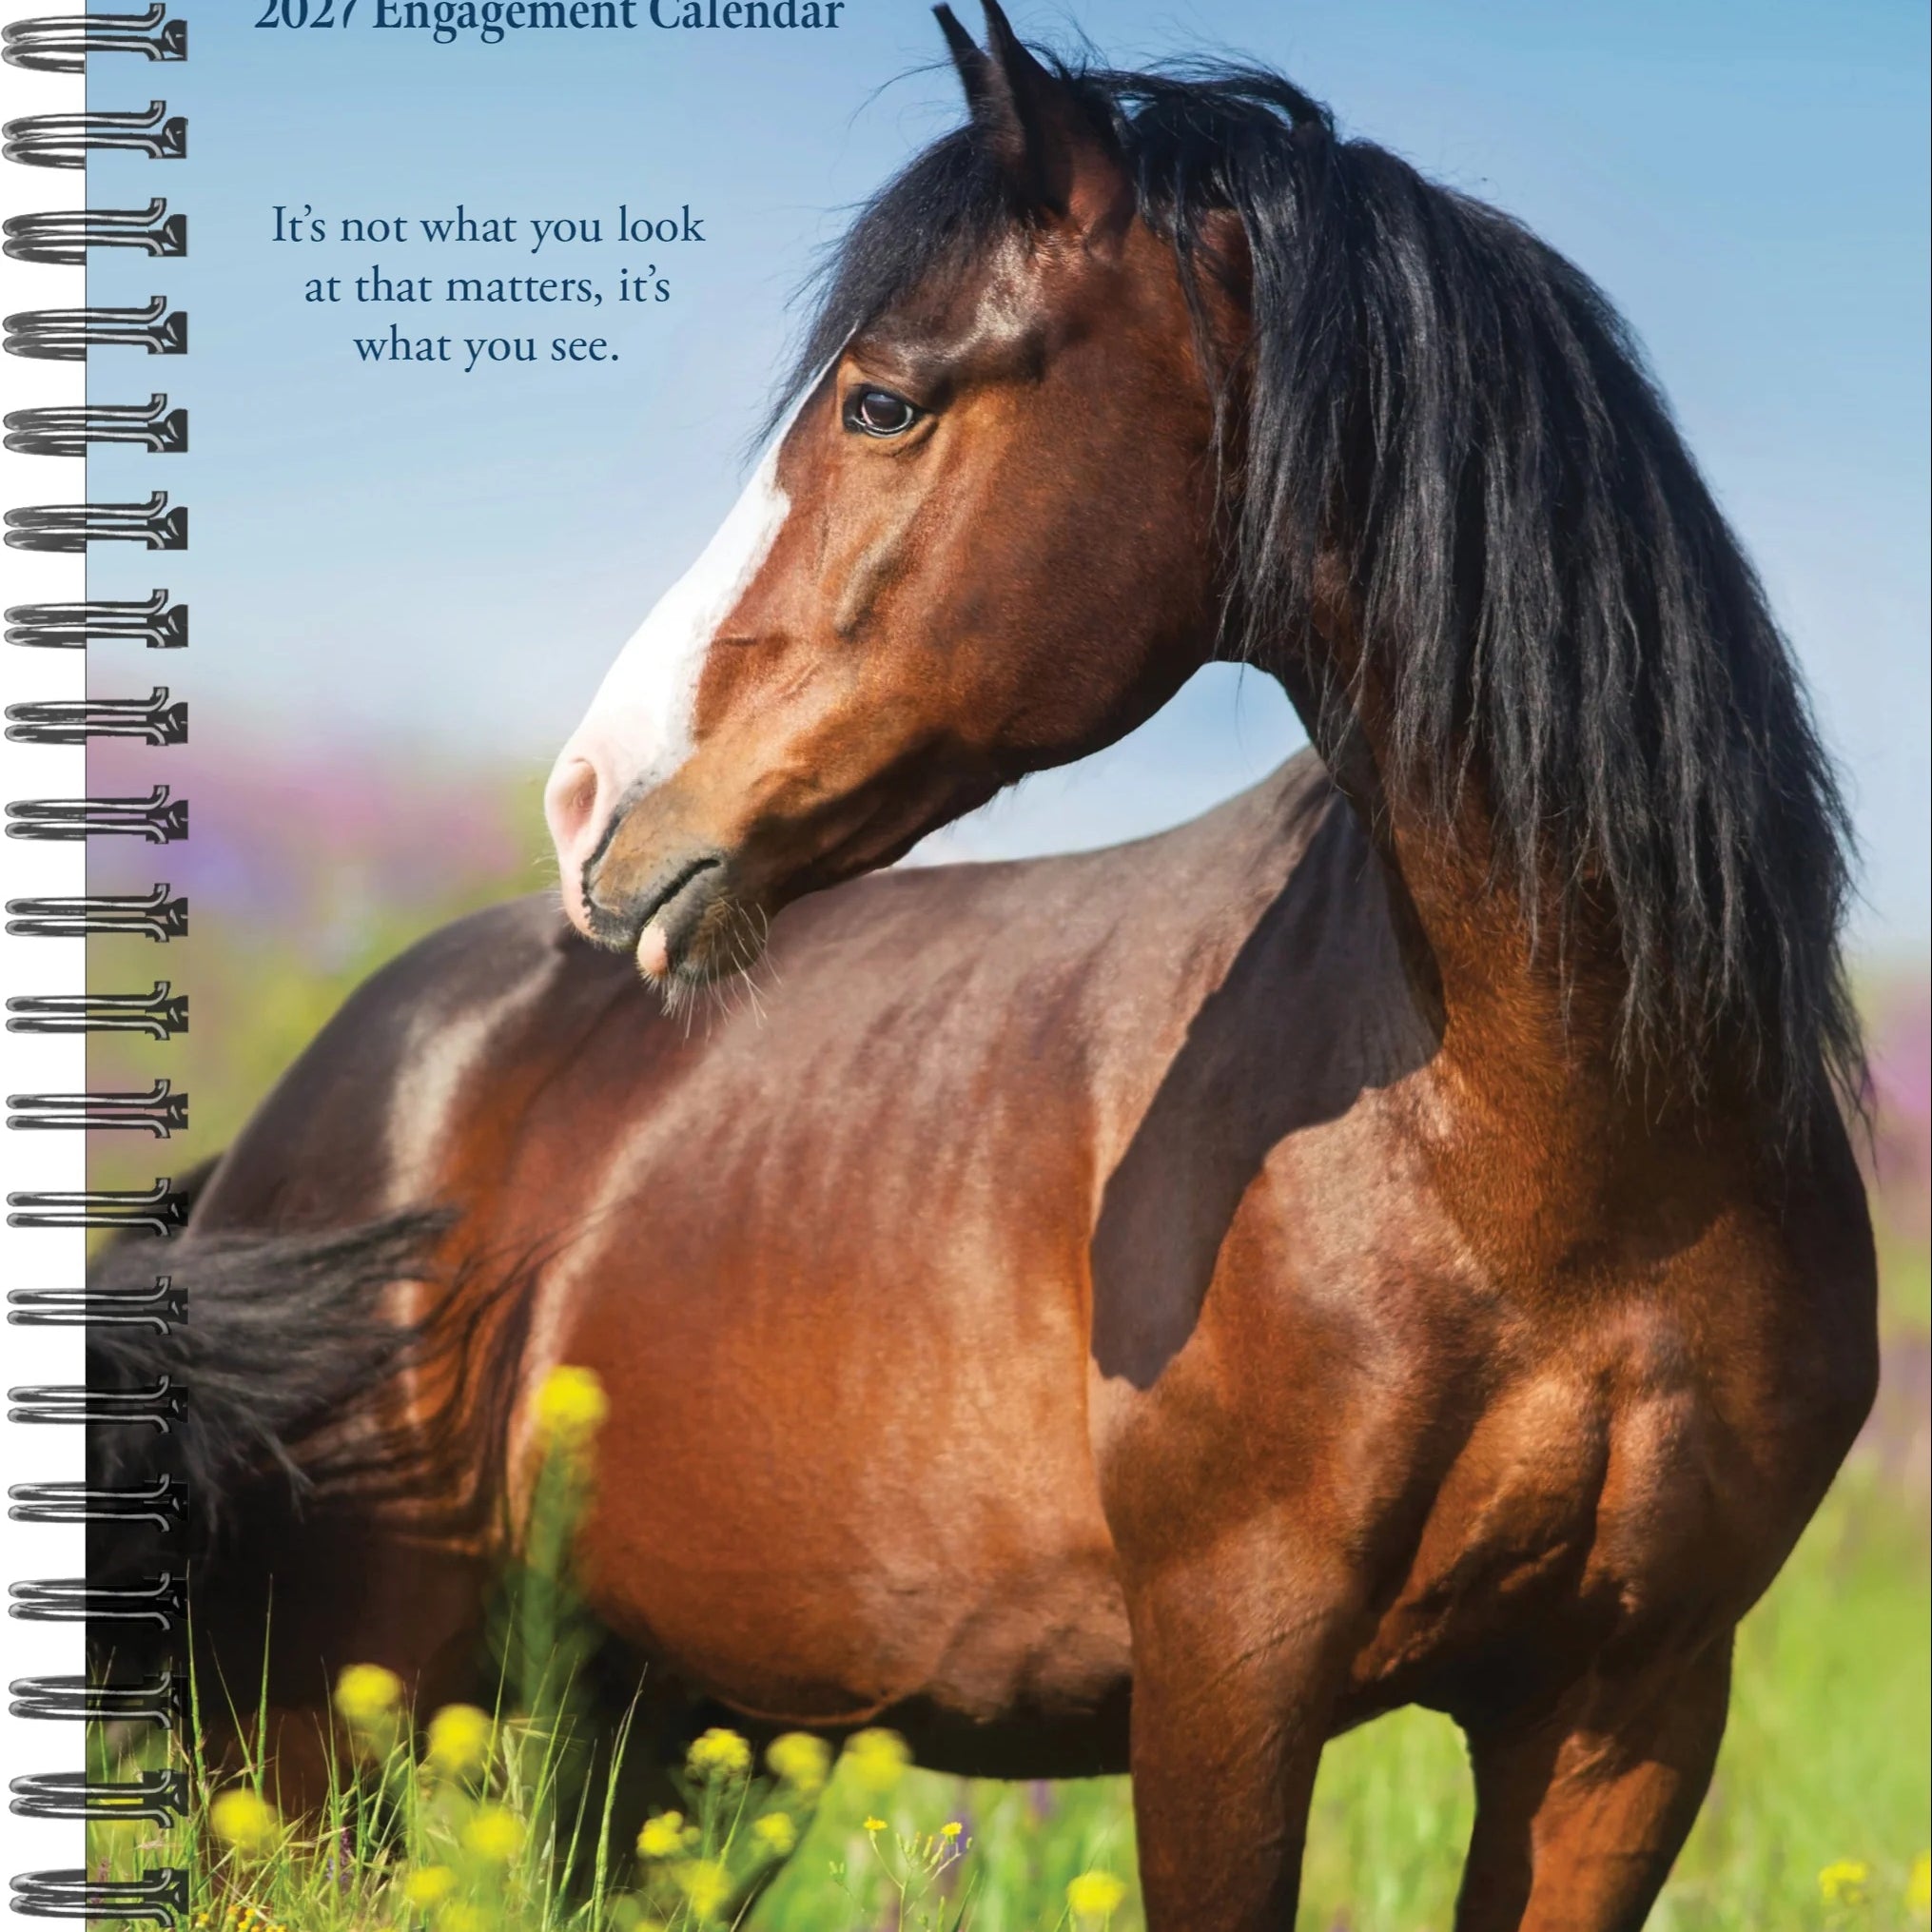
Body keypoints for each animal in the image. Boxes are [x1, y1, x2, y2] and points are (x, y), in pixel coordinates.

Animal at [97, 7, 1878, 1925]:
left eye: (882, 400)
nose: (589, 798)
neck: (1554, 1161)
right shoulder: (1231, 1668)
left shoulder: (1625, 1712)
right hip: (305, 1751)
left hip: (670, 1735)